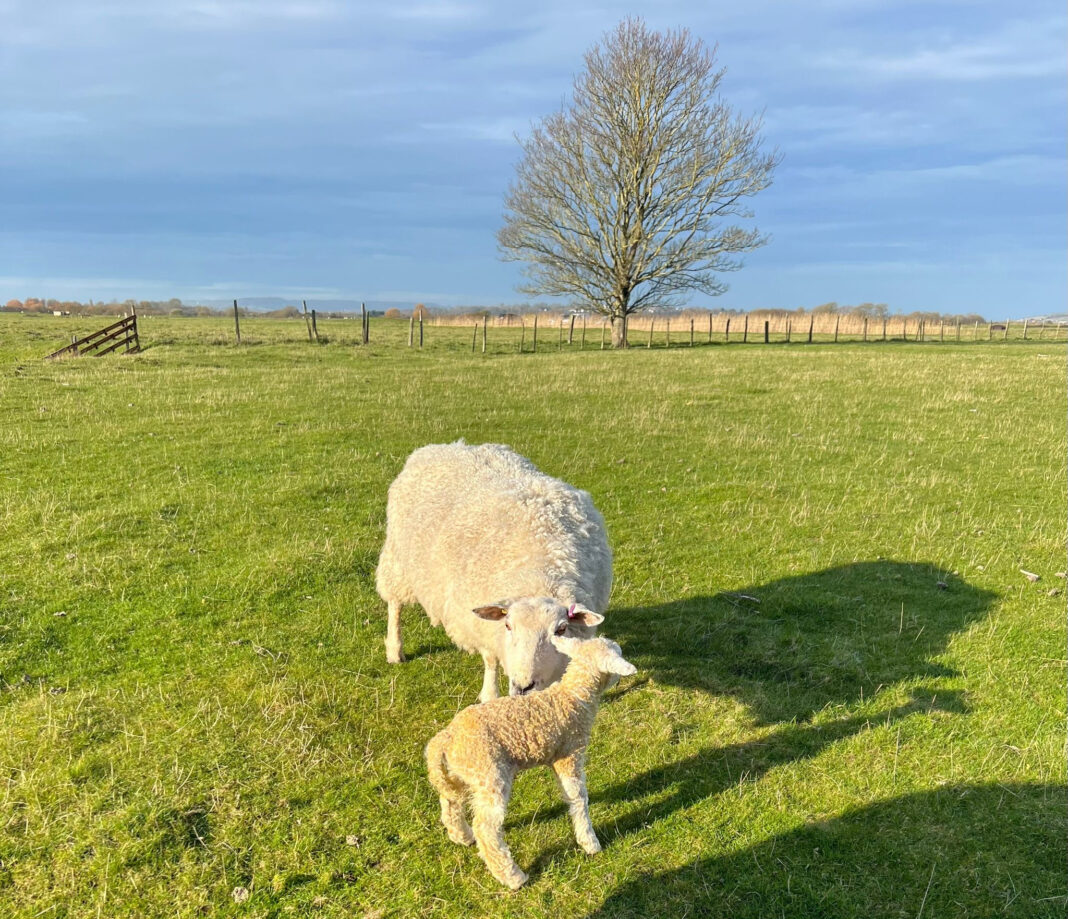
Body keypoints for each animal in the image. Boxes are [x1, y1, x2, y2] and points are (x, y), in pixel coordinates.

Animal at [375, 441, 613, 702]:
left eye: (561, 629)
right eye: (508, 626)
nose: (523, 686)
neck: (538, 573)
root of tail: (441, 446)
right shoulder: (484, 628)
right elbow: (490, 660)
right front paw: (490, 695)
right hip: (398, 559)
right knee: (394, 605)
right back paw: (395, 650)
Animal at [425, 636, 637, 889]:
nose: (619, 679)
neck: (573, 697)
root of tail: (446, 738)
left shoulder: (556, 757)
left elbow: (569, 795)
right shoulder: (570, 754)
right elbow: (579, 798)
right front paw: (590, 842)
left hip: (461, 774)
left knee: (450, 802)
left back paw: (462, 837)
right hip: (489, 774)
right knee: (486, 828)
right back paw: (513, 876)